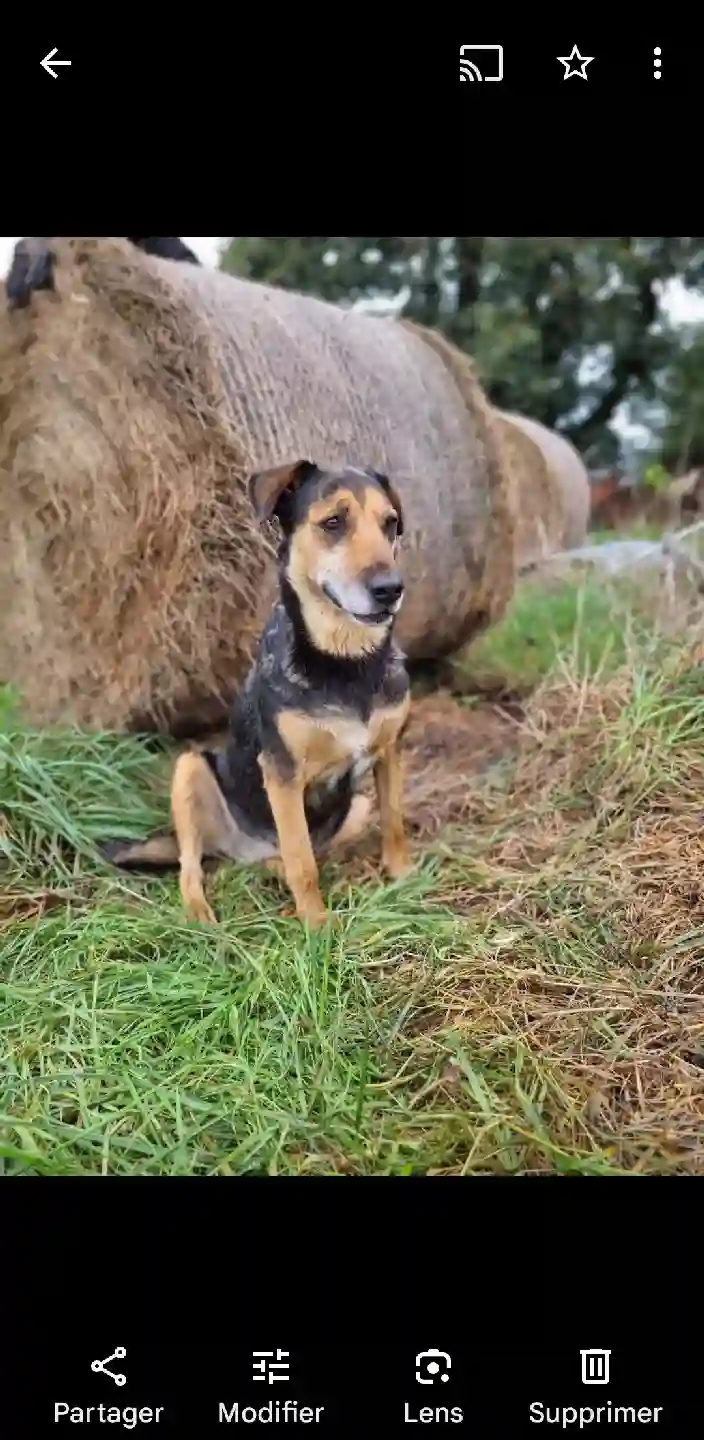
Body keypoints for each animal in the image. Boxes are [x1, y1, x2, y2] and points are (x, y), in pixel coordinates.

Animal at [107, 463, 414, 933]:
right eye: (333, 522)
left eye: (390, 524)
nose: (390, 588)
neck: (345, 661)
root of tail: (239, 851)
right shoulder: (282, 773)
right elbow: (302, 861)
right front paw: (316, 924)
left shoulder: (390, 751)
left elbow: (394, 821)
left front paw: (404, 878)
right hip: (190, 770)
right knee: (192, 865)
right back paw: (201, 911)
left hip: (357, 806)